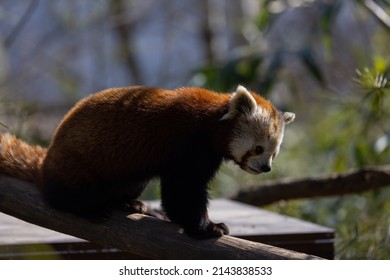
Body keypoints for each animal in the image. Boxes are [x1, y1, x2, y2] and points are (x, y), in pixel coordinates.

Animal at [0, 85, 292, 238]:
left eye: (274, 154)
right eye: (258, 148)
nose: (266, 168)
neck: (211, 123)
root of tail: (45, 163)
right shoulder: (186, 146)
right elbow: (182, 192)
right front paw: (207, 227)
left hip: (130, 177)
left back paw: (130, 203)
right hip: (75, 165)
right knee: (69, 193)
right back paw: (89, 208)